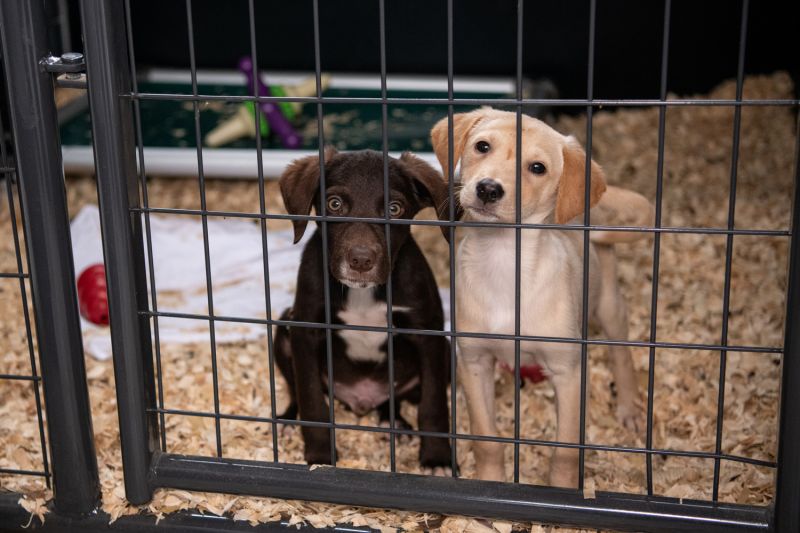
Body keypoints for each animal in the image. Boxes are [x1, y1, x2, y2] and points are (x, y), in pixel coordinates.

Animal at [274, 147, 450, 470]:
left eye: (394, 209)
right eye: (335, 204)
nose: (361, 260)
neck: (362, 293)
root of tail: (361, 401)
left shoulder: (429, 336)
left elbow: (434, 407)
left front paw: (437, 460)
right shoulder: (305, 331)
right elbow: (312, 402)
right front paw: (320, 458)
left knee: (393, 399)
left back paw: (394, 424)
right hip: (283, 328)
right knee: (295, 390)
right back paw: (288, 421)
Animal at [432, 107, 648, 486]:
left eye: (537, 168)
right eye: (482, 146)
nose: (488, 188)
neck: (504, 259)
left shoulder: (568, 372)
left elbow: (565, 450)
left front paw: (562, 489)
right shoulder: (473, 361)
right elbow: (486, 438)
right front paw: (490, 481)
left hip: (608, 305)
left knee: (622, 356)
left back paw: (628, 407)